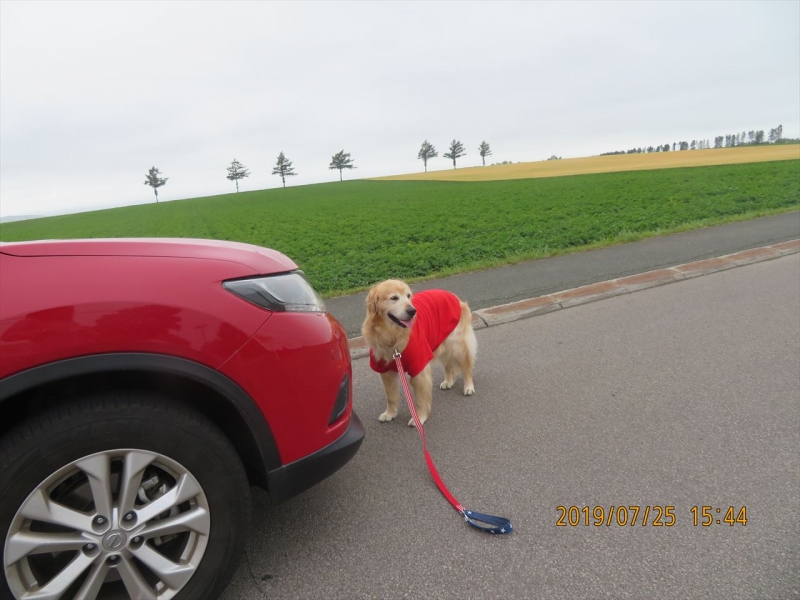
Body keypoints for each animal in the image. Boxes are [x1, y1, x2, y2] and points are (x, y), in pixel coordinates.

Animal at [360, 282, 476, 426]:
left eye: (408, 296)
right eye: (394, 298)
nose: (412, 311)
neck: (393, 336)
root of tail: (452, 295)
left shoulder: (419, 367)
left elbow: (421, 398)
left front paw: (420, 417)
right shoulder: (385, 371)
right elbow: (391, 396)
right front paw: (390, 413)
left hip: (456, 345)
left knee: (466, 367)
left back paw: (469, 386)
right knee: (448, 365)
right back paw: (448, 381)